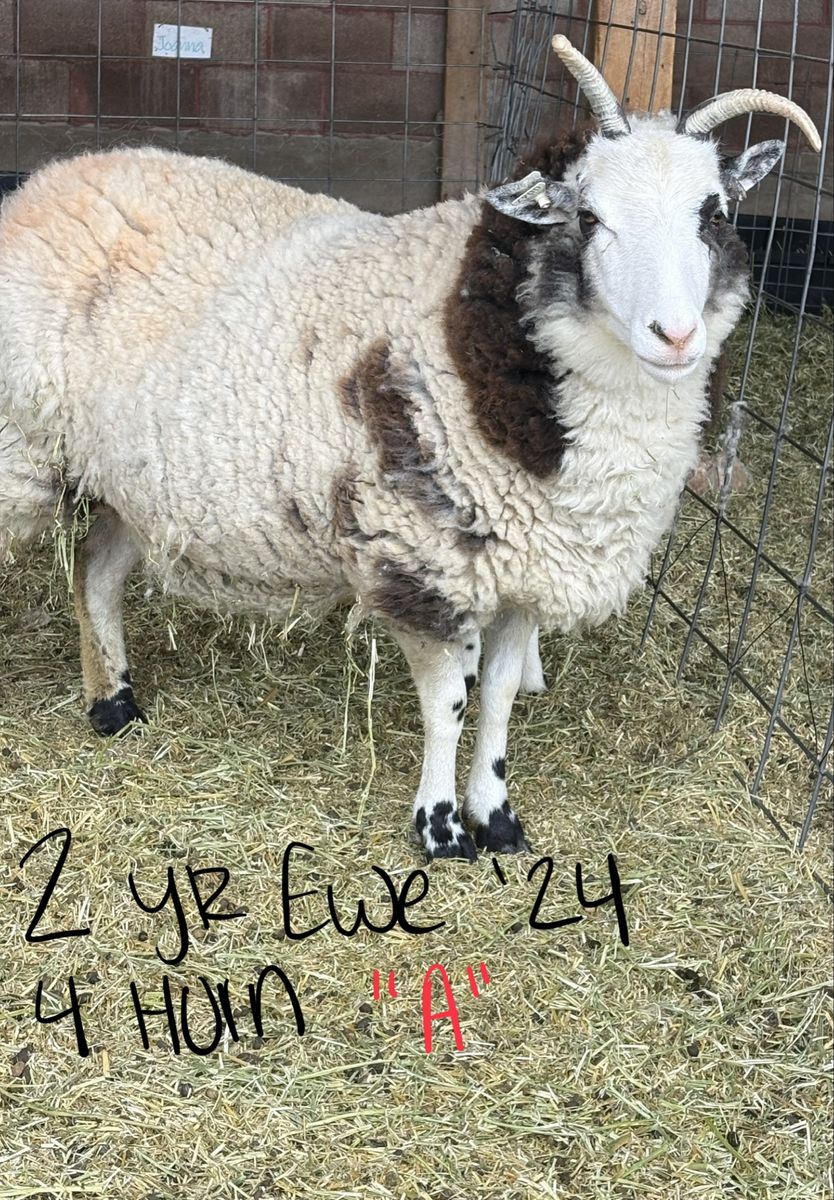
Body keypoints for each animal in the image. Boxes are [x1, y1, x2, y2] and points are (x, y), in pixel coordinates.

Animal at [0, 36, 820, 862]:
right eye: (588, 217)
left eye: (714, 214)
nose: (676, 337)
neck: (473, 332)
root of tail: (46, 181)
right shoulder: (419, 561)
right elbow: (448, 704)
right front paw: (441, 826)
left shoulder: (527, 564)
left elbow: (497, 698)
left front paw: (498, 817)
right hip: (24, 452)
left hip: (132, 481)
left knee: (96, 572)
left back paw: (113, 703)